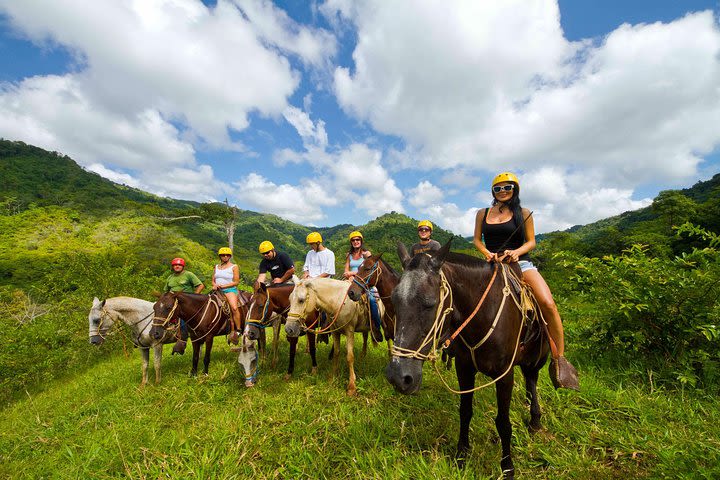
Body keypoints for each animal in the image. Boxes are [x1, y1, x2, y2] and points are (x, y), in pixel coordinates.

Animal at [386, 242, 548, 478]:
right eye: (394, 300)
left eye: (430, 304)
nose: (398, 377)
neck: (483, 314)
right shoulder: (463, 368)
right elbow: (465, 412)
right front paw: (461, 455)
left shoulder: (505, 375)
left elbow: (503, 423)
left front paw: (507, 467)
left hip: (537, 356)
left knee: (532, 380)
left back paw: (535, 419)